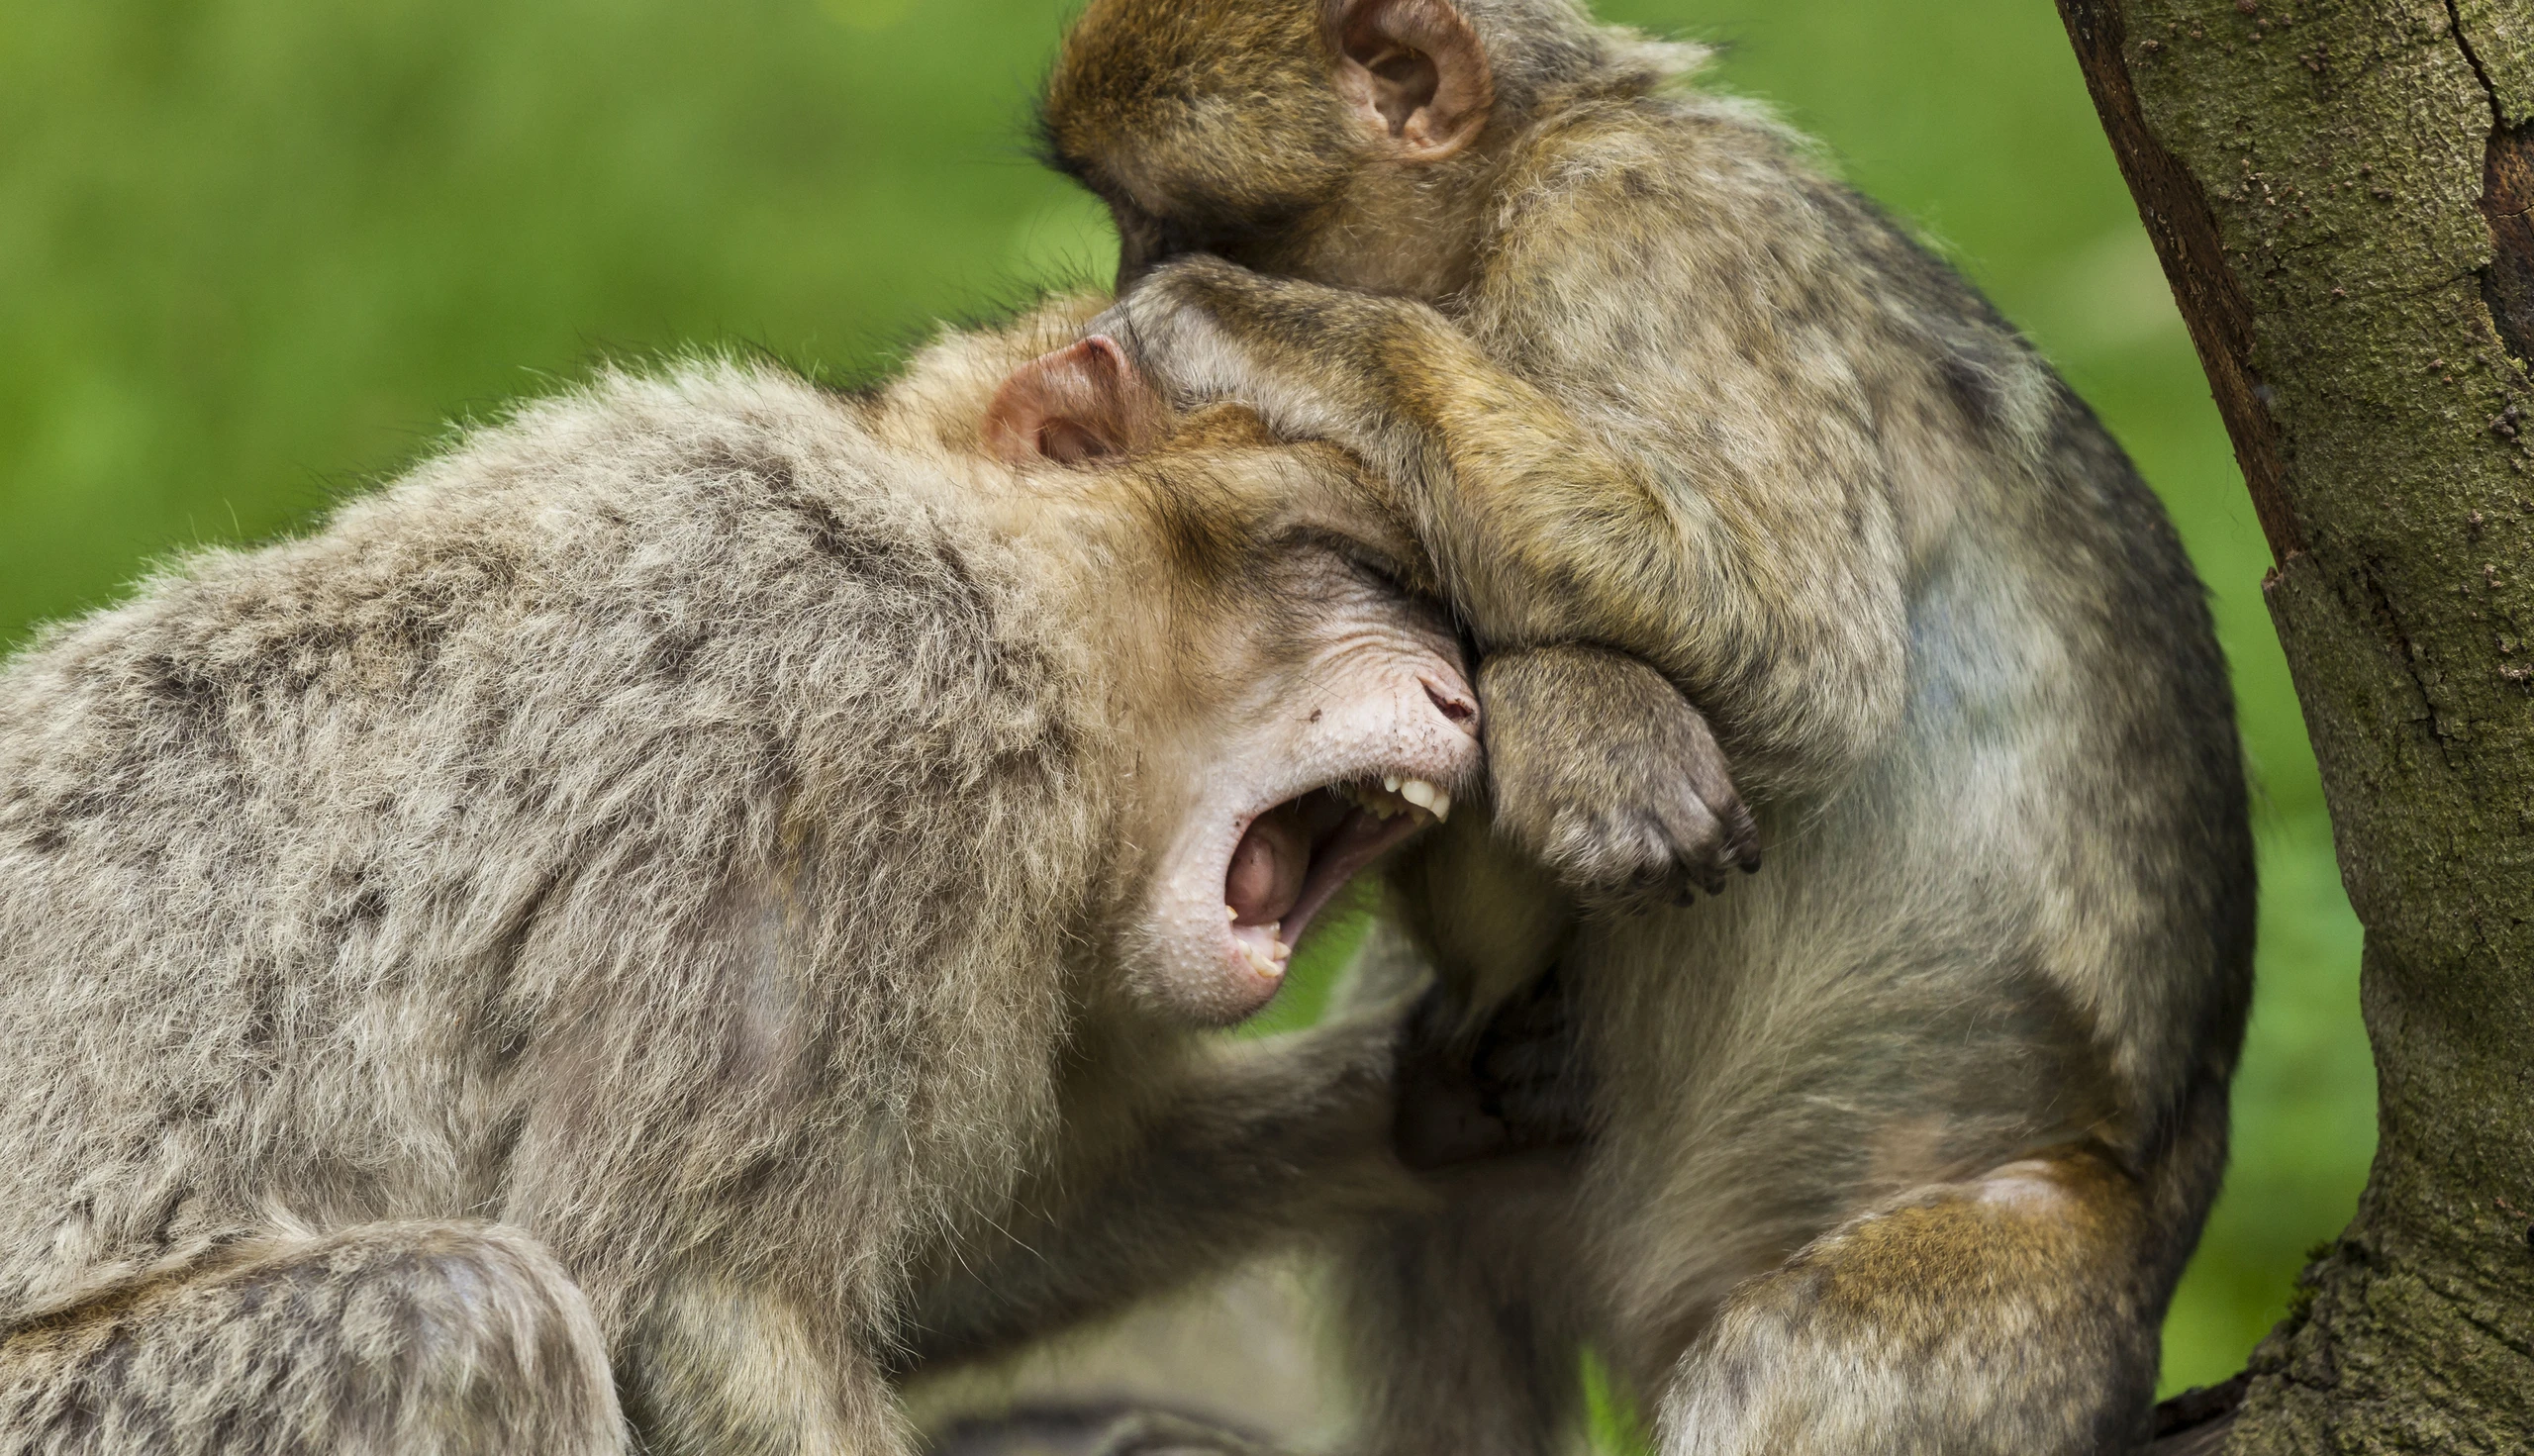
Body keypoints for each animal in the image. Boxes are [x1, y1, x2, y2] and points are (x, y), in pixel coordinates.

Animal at [0, 296, 1505, 1455]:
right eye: (1357, 567)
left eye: (1459, 627)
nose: (1464, 702)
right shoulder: (874, 720)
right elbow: (701, 1309)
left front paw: (1442, 1104)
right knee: (466, 1314)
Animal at [954, 3, 2266, 1453]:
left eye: (1163, 225)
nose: (1111, 312)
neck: (1521, 177)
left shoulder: (1637, 241)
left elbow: (1800, 643)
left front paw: (1271, 333)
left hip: (2033, 1287)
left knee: (1806, 1351)